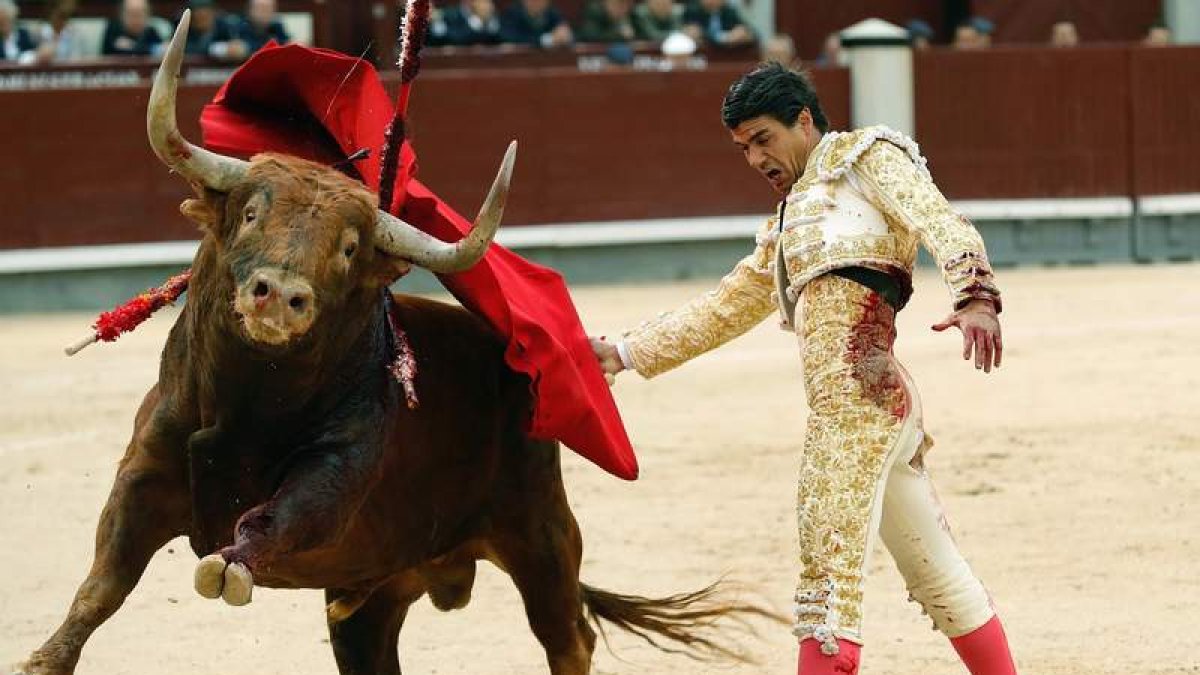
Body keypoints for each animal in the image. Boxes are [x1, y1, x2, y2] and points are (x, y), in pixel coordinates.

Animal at [11, 11, 768, 672]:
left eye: (349, 247)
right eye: (251, 212)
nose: (279, 295)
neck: (249, 399)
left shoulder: (334, 478)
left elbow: (279, 515)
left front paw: (231, 563)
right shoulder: (144, 471)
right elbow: (101, 585)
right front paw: (43, 659)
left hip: (542, 533)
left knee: (567, 636)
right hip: (379, 594)